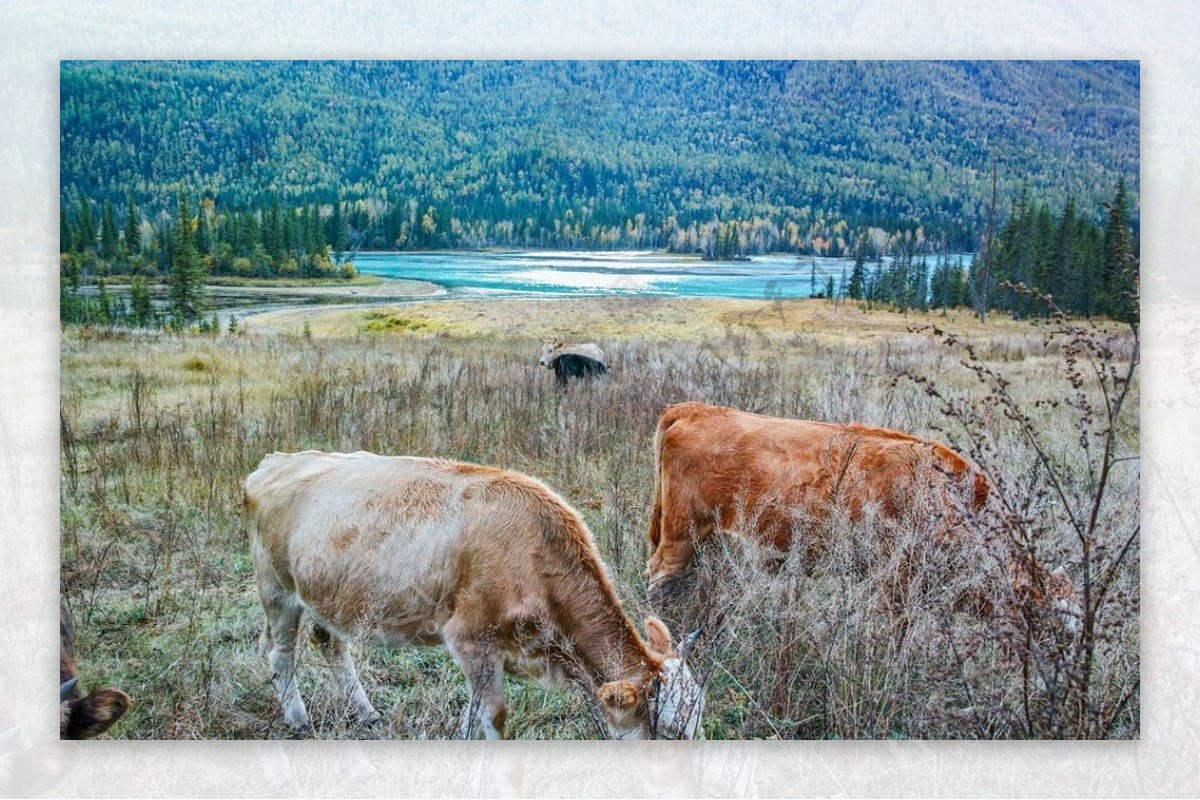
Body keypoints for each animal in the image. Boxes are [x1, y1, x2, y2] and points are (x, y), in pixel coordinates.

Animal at [247, 453, 705, 743]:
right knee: (279, 653)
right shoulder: (470, 638)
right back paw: (299, 719)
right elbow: (494, 716)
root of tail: (277, 461)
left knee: (328, 642)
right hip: (277, 590)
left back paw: (365, 712)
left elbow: (474, 713)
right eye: (669, 731)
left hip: (329, 596)